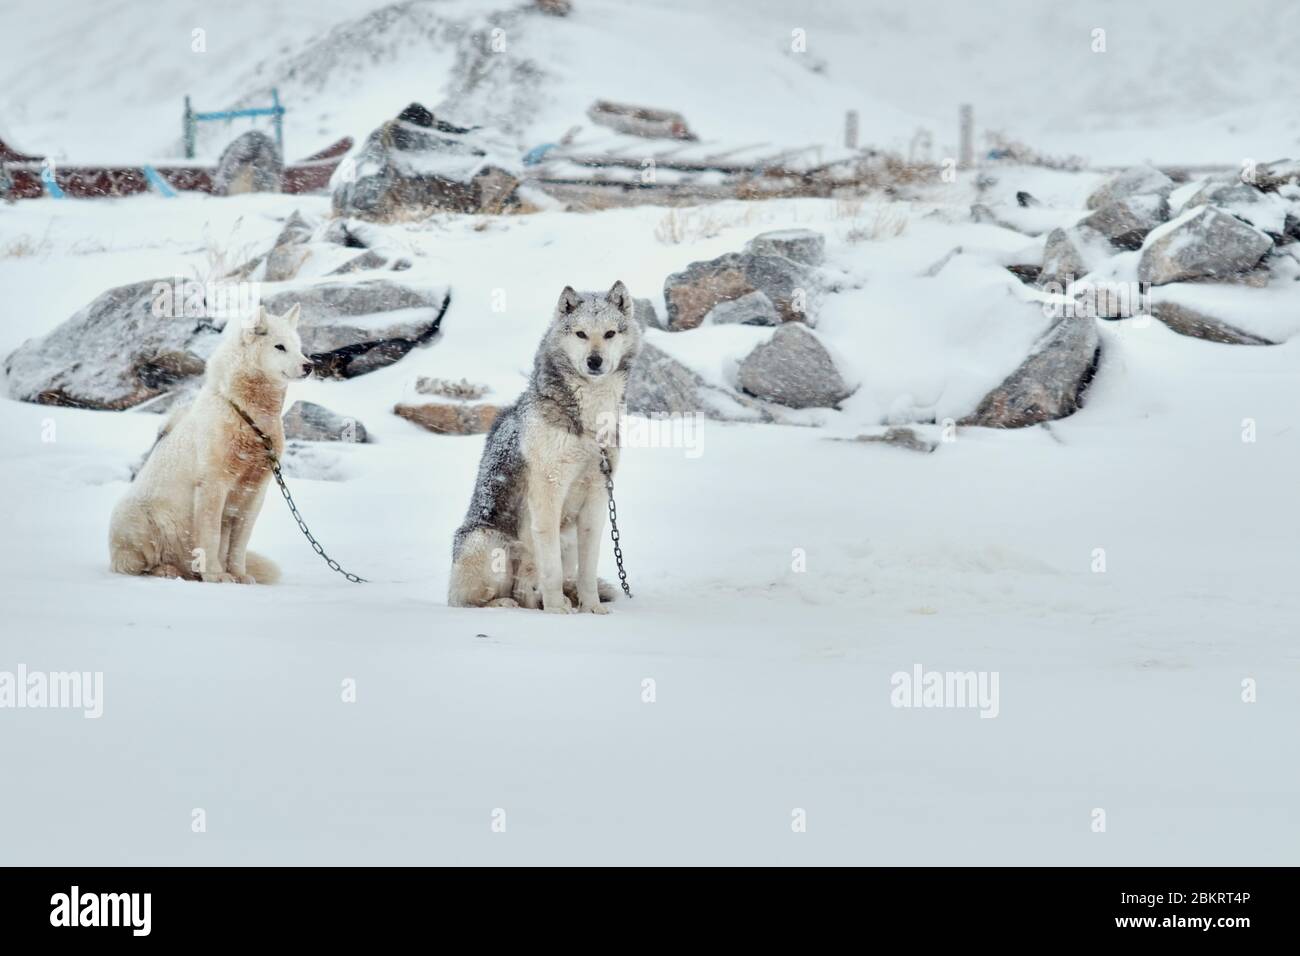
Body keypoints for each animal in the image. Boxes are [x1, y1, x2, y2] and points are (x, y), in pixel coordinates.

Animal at [109, 306, 312, 582]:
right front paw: (217, 576)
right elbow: (212, 535)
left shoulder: (254, 492)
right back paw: (166, 571)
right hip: (138, 520)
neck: (248, 417)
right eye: (279, 347)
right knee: (136, 566)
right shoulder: (212, 485)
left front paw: (239, 576)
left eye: (298, 346)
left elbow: (239, 543)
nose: (309, 365)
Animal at [449, 280, 642, 616]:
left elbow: (587, 572)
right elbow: (550, 568)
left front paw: (592, 608)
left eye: (609, 334)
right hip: (488, 540)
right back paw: (509, 604)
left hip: (566, 541)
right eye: (580, 334)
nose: (594, 361)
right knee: (470, 601)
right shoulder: (548, 494)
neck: (590, 423)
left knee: (527, 592)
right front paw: (556, 611)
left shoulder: (596, 498)